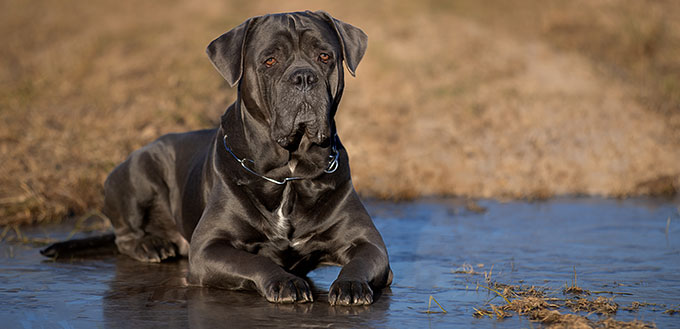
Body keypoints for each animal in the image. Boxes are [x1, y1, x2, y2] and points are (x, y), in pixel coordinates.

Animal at [41, 10, 394, 304]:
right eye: (270, 61)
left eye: (324, 56)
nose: (304, 77)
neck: (289, 173)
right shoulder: (209, 248)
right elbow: (254, 261)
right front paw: (285, 281)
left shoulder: (369, 244)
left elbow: (361, 260)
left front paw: (351, 285)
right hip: (136, 170)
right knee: (124, 236)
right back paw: (150, 245)